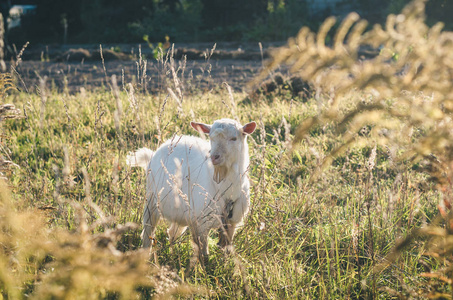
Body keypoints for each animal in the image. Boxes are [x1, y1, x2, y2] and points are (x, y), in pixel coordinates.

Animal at [125, 118, 256, 262]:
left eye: (234, 138)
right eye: (210, 137)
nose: (214, 157)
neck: (226, 191)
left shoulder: (232, 222)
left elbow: (226, 249)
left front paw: (225, 262)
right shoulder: (202, 223)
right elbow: (203, 252)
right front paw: (205, 266)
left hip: (182, 213)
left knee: (172, 232)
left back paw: (172, 254)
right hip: (151, 201)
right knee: (147, 233)